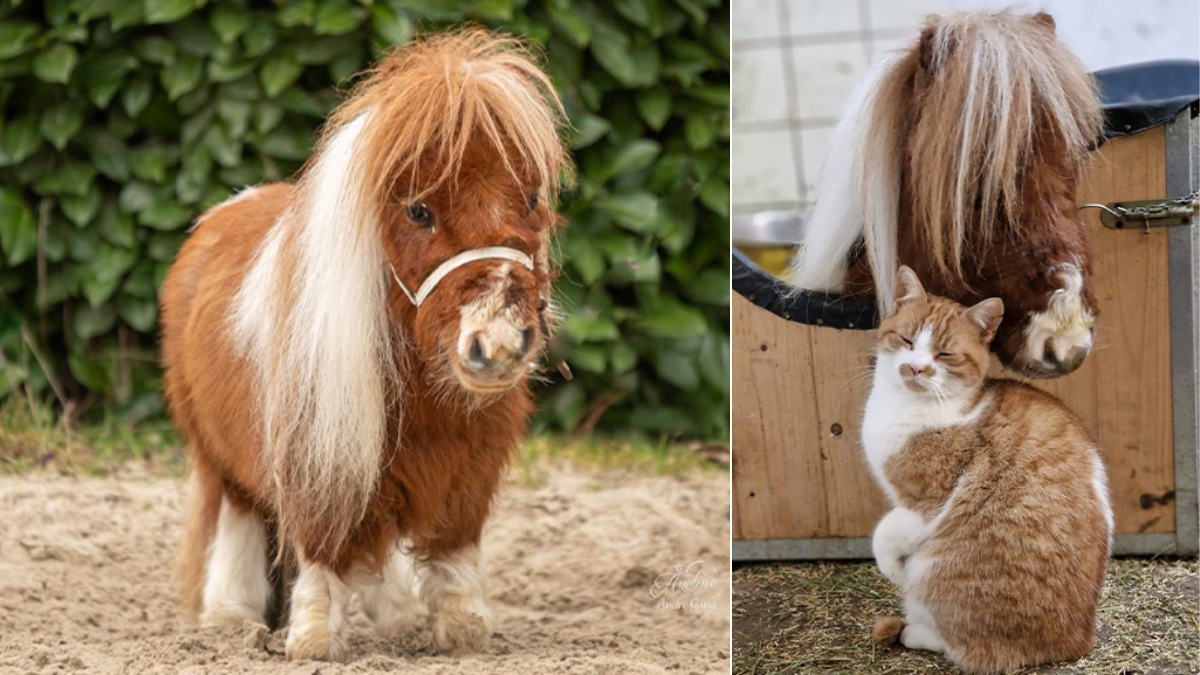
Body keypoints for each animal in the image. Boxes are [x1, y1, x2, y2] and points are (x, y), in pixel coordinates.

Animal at [160, 29, 572, 662]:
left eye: (529, 200)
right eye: (419, 210)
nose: (498, 344)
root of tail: (218, 217)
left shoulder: (469, 465)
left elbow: (452, 550)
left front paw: (461, 629)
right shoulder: (319, 455)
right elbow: (322, 548)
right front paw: (312, 638)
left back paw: (394, 617)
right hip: (217, 454)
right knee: (241, 516)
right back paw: (231, 616)